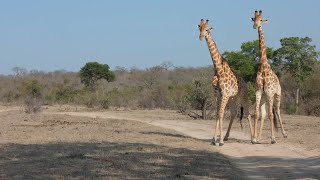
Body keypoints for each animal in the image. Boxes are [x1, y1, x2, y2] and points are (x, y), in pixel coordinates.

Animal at [252, 10, 288, 143]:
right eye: (254, 19)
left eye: (261, 20)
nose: (255, 26)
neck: (263, 67)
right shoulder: (258, 92)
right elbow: (257, 114)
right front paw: (254, 139)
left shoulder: (269, 92)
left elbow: (272, 115)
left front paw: (273, 138)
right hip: (264, 97)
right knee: (264, 114)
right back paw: (259, 137)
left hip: (277, 95)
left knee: (277, 111)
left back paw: (284, 134)